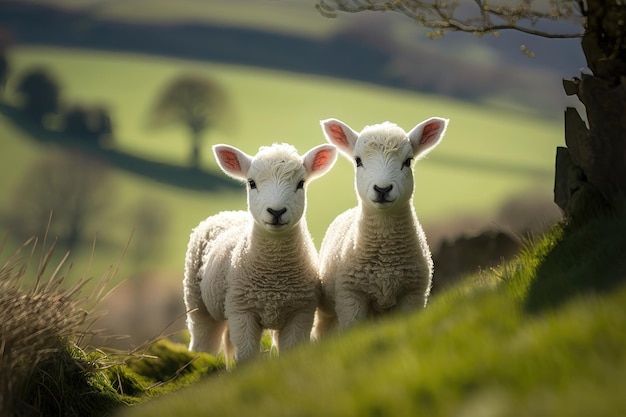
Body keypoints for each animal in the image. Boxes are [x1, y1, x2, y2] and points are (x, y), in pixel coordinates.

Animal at [182, 141, 336, 362]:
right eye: (252, 183)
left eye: (301, 183)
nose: (276, 212)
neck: (274, 274)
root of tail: (228, 213)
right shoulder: (242, 312)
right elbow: (247, 356)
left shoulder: (301, 312)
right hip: (198, 302)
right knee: (204, 341)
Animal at [314, 115, 446, 336]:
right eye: (358, 161)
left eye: (408, 161)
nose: (382, 189)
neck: (385, 258)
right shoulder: (350, 296)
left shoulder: (413, 294)